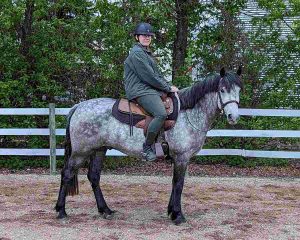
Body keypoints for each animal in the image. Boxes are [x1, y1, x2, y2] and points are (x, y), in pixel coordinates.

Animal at [55, 66, 244, 224]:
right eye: (222, 90)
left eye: (239, 90)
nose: (233, 117)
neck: (188, 113)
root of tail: (78, 106)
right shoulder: (182, 157)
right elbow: (179, 184)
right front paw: (178, 215)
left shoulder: (178, 159)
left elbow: (174, 183)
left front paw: (171, 211)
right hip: (81, 152)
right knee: (67, 174)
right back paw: (61, 211)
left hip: (99, 150)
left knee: (94, 177)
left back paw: (105, 210)